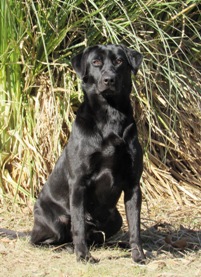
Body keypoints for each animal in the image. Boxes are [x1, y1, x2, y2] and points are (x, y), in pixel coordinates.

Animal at [30, 44, 145, 262]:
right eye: (96, 62)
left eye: (119, 61)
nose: (109, 79)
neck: (110, 116)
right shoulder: (78, 183)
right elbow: (79, 226)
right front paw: (83, 255)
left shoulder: (133, 185)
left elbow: (135, 225)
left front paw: (138, 255)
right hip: (56, 221)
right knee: (44, 240)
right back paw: (68, 247)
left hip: (115, 218)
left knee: (99, 238)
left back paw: (120, 244)